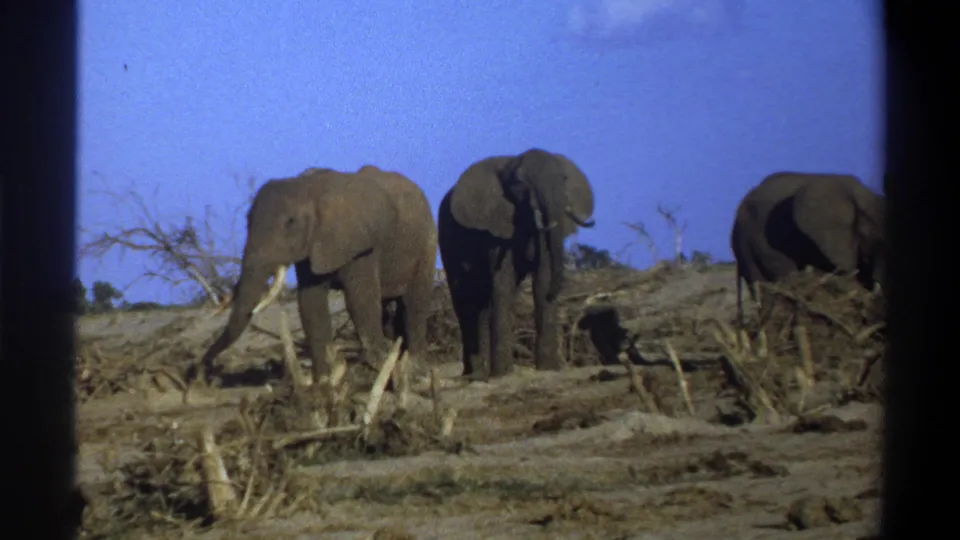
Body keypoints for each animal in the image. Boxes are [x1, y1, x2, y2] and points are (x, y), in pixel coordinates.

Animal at [192, 164, 438, 393]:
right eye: (248, 220)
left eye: (291, 222)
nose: (204, 377)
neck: (310, 189)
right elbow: (310, 303)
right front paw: (325, 381)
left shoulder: (361, 244)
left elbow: (360, 301)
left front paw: (380, 371)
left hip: (426, 242)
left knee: (415, 304)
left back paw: (417, 374)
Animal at [437, 148, 596, 380]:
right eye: (521, 183)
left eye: (564, 179)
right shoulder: (495, 224)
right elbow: (503, 282)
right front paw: (502, 374)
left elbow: (543, 277)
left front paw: (549, 368)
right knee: (465, 301)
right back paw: (473, 373)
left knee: (481, 304)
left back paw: (479, 371)